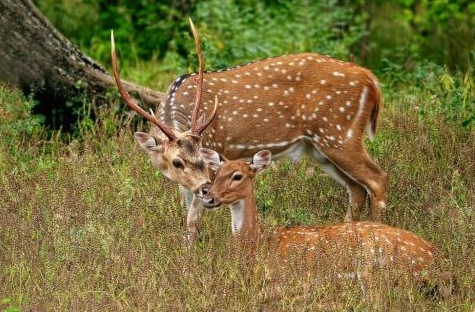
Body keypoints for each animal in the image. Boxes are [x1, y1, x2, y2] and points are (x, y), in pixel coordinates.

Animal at [110, 20, 386, 241]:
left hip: (339, 133)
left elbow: (192, 220)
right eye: (177, 162)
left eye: (205, 158)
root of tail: (371, 80)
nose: (206, 188)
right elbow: (186, 218)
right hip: (319, 148)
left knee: (377, 179)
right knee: (357, 189)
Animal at [202, 150, 450, 294]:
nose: (208, 196)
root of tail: (437, 259)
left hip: (376, 265)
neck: (255, 240)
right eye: (216, 172)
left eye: (237, 176)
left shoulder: (280, 275)